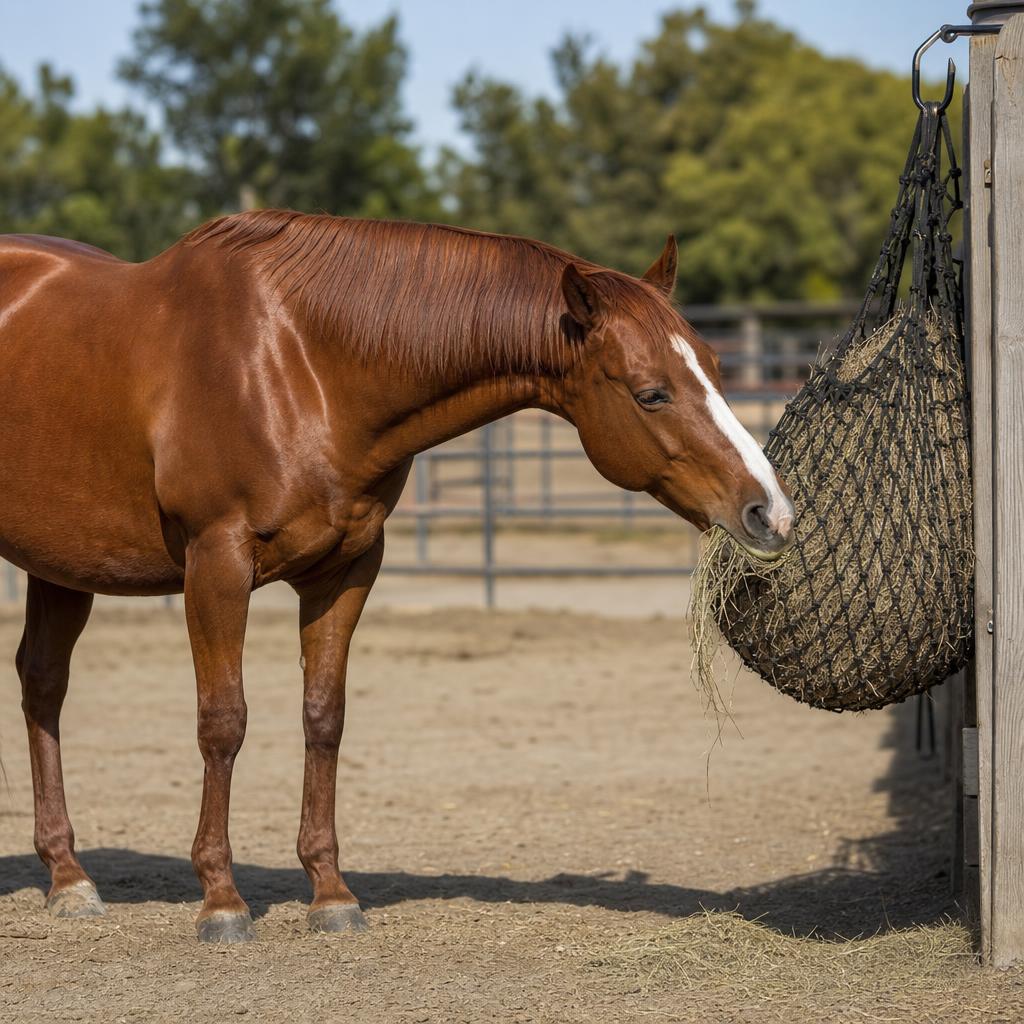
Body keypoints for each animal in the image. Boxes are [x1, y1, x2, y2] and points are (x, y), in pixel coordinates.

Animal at [0, 211, 794, 942]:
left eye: (717, 367)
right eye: (651, 392)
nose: (771, 512)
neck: (296, 366)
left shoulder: (346, 570)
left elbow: (324, 717)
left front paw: (330, 893)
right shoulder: (216, 565)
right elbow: (223, 722)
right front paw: (222, 900)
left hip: (62, 565)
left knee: (42, 684)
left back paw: (68, 878)